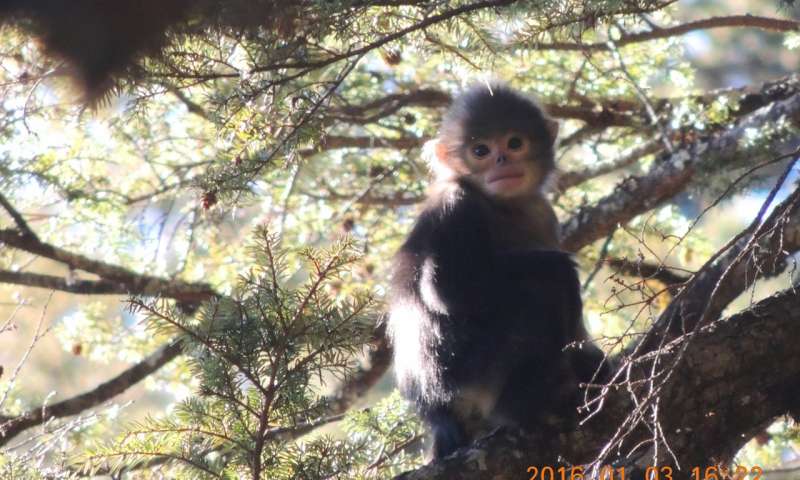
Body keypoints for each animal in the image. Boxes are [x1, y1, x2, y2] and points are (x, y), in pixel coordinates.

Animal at [388, 84, 608, 460]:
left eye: (514, 143)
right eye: (481, 151)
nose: (502, 160)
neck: (501, 206)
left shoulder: (542, 211)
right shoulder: (456, 207)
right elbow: (445, 290)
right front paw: (558, 264)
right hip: (472, 373)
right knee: (543, 289)